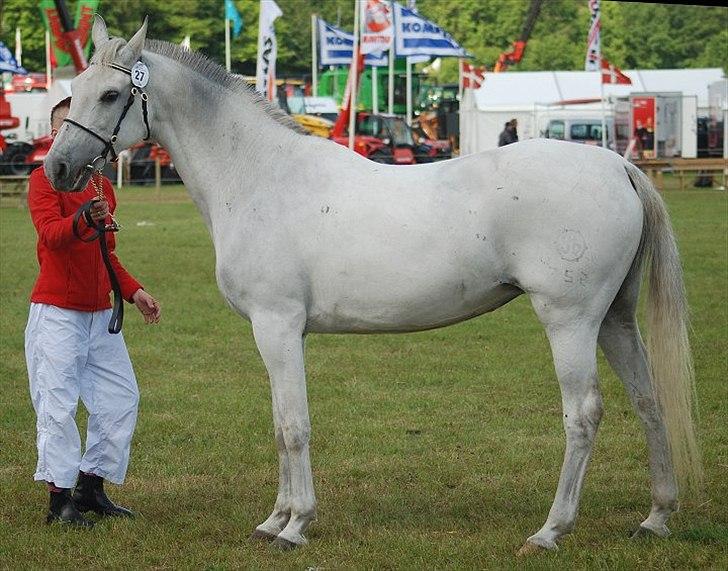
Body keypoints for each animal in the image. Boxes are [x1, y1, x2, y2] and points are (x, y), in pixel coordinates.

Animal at [44, 19, 700, 556]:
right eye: (74, 88)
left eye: (110, 94)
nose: (57, 168)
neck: (260, 175)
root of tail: (618, 165)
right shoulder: (278, 335)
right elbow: (279, 423)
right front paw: (273, 519)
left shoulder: (277, 326)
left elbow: (294, 426)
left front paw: (295, 526)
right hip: (615, 318)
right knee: (648, 400)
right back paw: (656, 518)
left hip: (571, 320)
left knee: (583, 414)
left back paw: (550, 531)